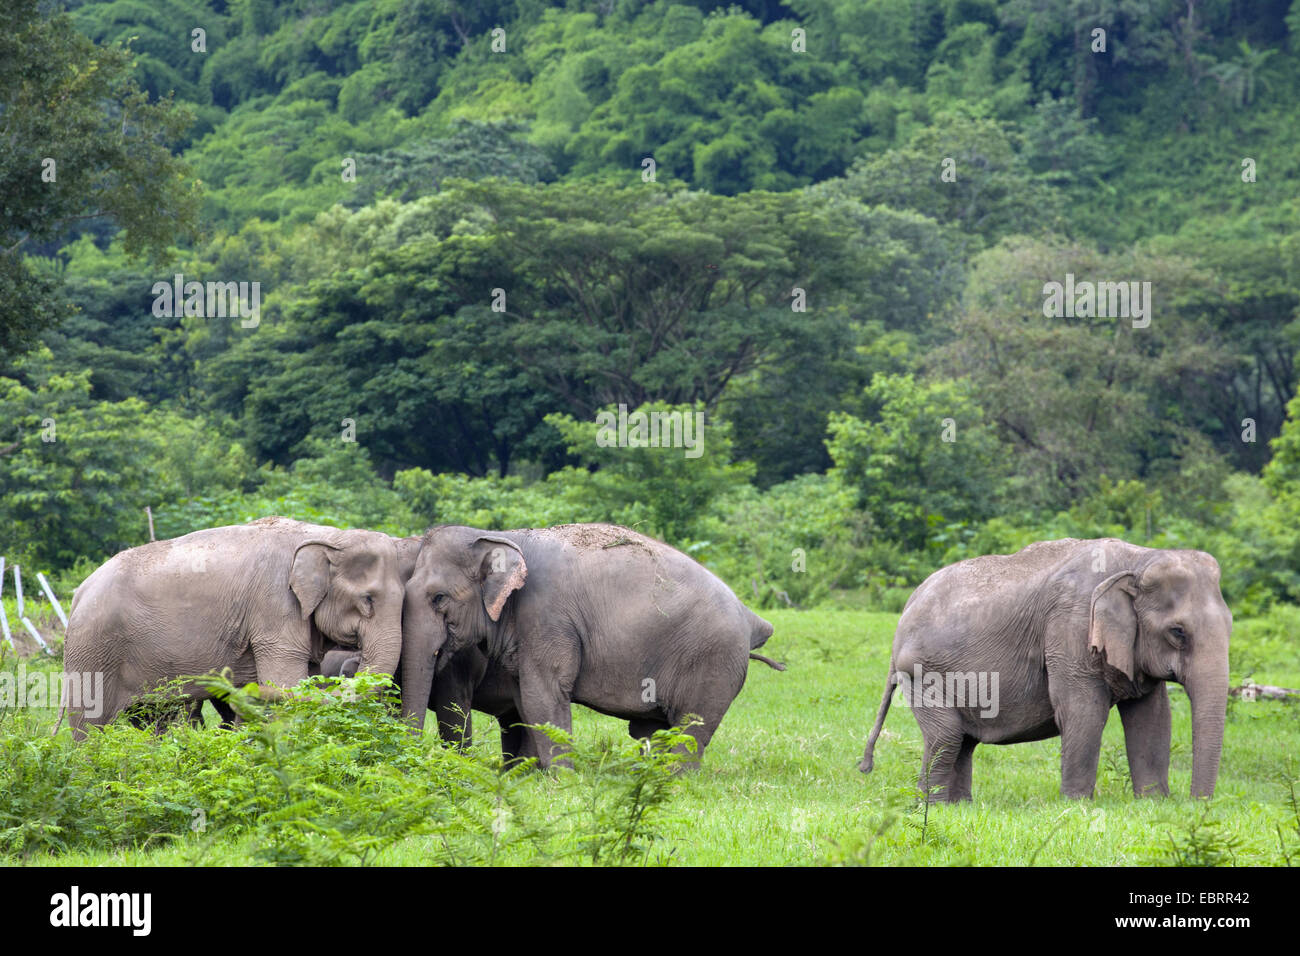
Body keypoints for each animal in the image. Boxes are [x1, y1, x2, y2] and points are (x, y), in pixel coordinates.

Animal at [61, 515, 403, 738]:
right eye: (368, 600)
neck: (331, 537)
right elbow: (286, 680)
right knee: (89, 724)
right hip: (93, 649)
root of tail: (78, 594)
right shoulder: (275, 604)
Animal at [395, 522, 780, 770]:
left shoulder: (548, 617)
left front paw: (559, 779)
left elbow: (544, 694)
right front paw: (529, 776)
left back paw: (673, 780)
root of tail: (752, 619)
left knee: (689, 731)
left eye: (439, 598)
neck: (504, 537)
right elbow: (525, 699)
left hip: (713, 661)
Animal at [857, 541, 1232, 806]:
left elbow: (1152, 718)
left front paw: (1153, 803)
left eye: (1230, 625)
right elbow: (1084, 712)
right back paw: (931, 808)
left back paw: (959, 807)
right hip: (921, 672)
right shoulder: (1070, 628)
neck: (1139, 559)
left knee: (962, 740)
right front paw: (1077, 806)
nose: (1197, 803)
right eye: (1177, 632)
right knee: (945, 736)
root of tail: (907, 606)